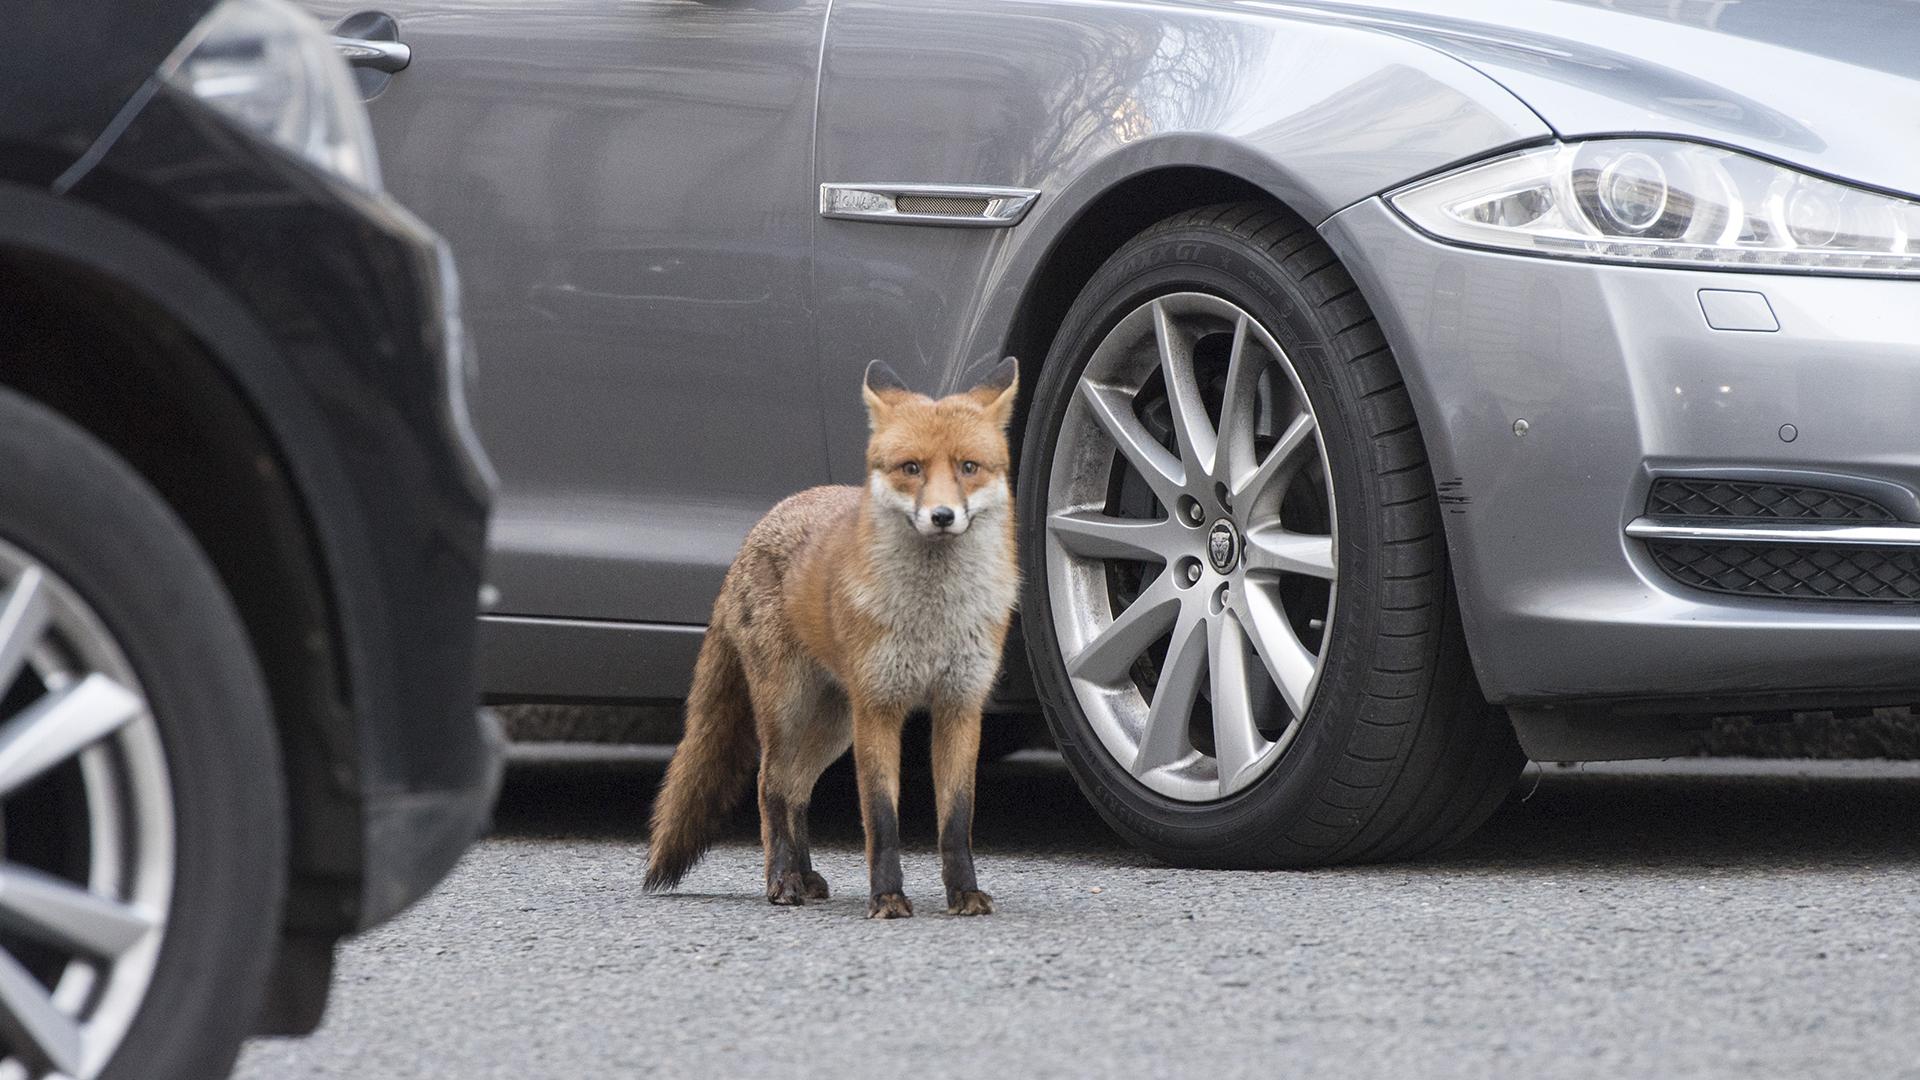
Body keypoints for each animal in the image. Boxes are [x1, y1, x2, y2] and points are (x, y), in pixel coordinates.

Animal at [648, 357, 1021, 910]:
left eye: (969, 467)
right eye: (912, 468)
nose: (942, 516)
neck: (932, 620)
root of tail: (761, 524)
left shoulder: (960, 706)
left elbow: (956, 821)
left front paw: (965, 894)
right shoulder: (879, 708)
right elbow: (881, 820)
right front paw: (887, 899)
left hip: (834, 724)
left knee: (797, 790)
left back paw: (804, 876)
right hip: (791, 709)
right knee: (770, 785)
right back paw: (782, 880)